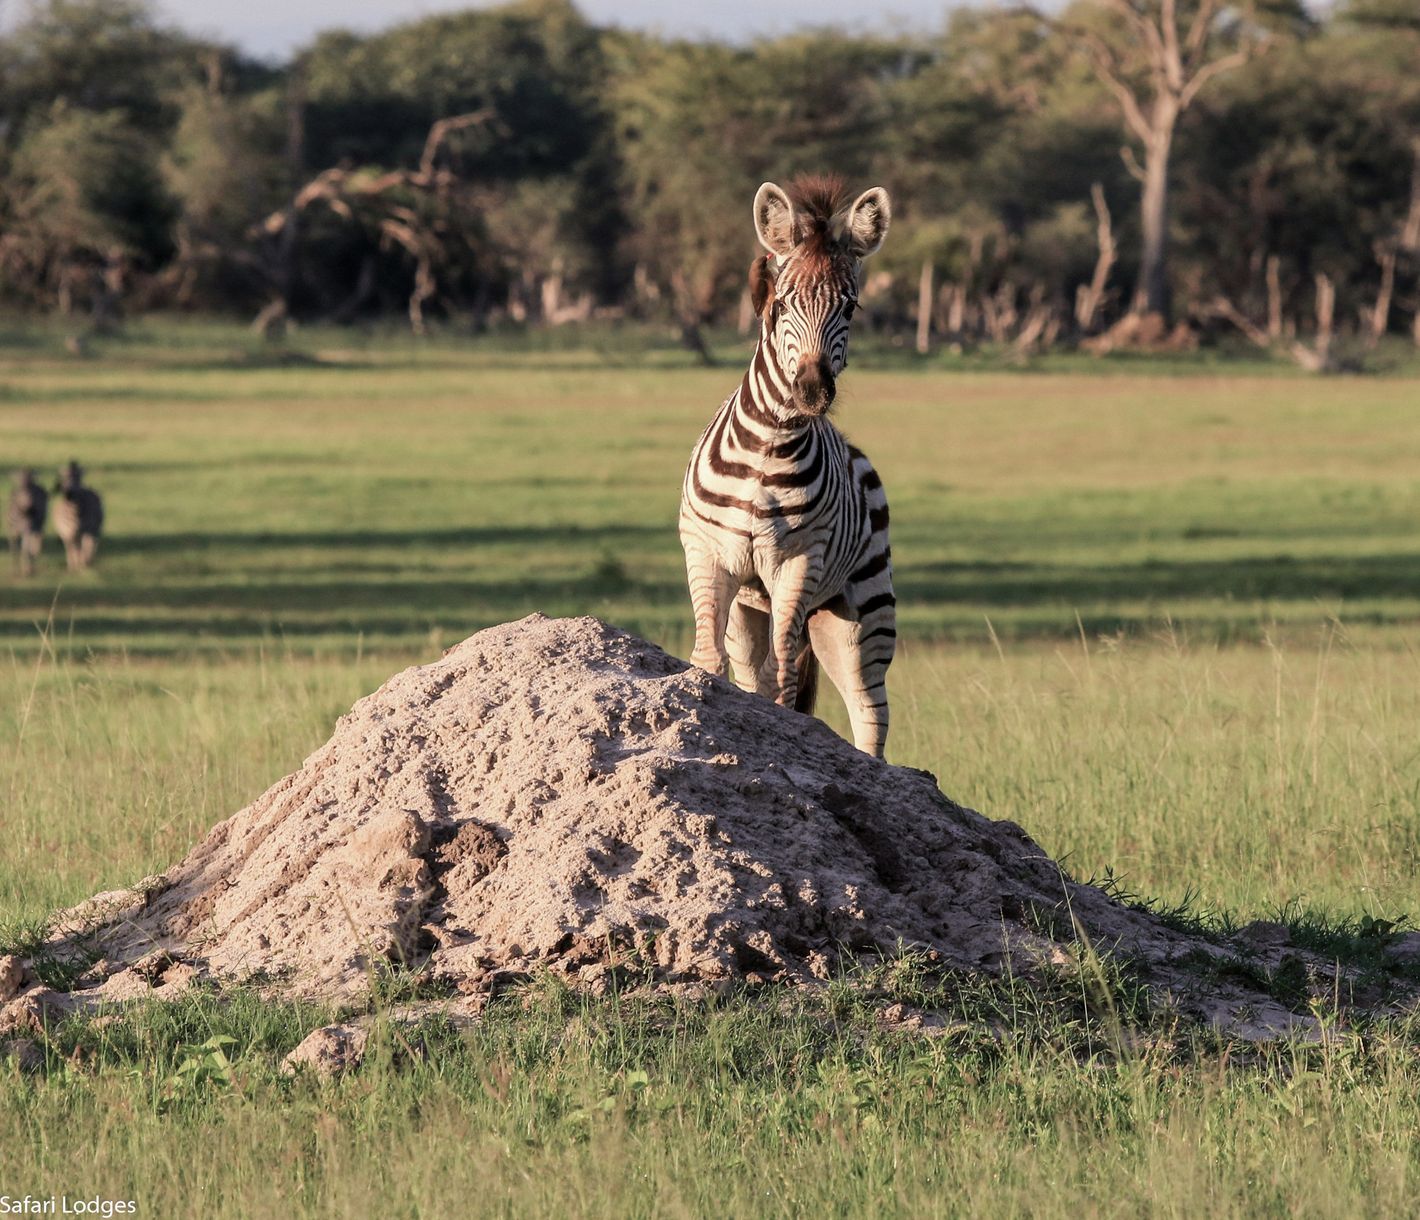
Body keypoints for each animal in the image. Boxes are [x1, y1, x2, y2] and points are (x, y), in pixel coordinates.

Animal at [679, 174, 895, 757]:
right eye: (782, 303)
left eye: (850, 308)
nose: (813, 391)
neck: (767, 451)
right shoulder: (707, 555)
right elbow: (708, 662)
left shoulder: (798, 563)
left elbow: (783, 680)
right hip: (752, 609)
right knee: (755, 671)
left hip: (864, 612)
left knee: (870, 711)